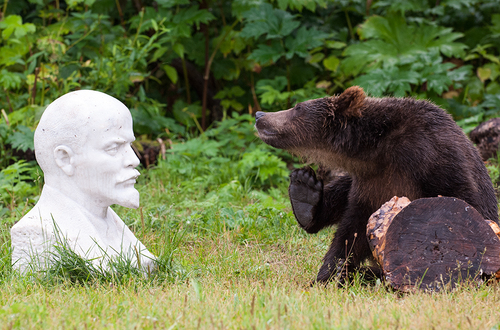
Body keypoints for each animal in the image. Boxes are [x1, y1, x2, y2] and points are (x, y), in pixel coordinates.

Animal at [256, 87, 498, 284]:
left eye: (298, 107)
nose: (260, 115)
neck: (374, 148)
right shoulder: (370, 181)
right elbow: (352, 231)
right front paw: (330, 274)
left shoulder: (433, 156)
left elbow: (465, 203)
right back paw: (304, 194)